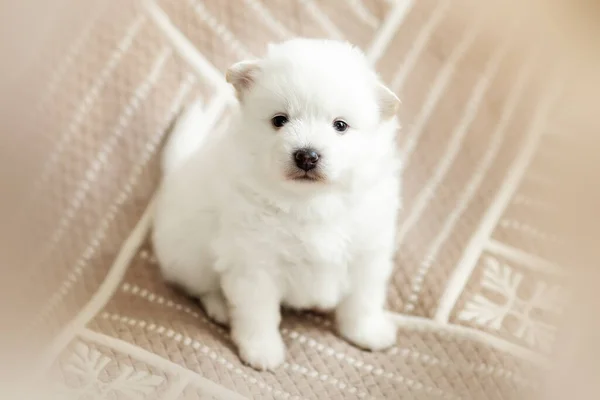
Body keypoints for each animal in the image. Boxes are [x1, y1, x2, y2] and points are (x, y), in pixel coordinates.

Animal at [152, 39, 400, 370]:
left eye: (340, 125)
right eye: (279, 120)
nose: (306, 155)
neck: (310, 201)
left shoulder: (367, 252)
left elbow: (363, 299)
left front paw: (366, 332)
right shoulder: (254, 262)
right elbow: (257, 312)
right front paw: (262, 350)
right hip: (188, 258)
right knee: (200, 287)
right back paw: (220, 307)